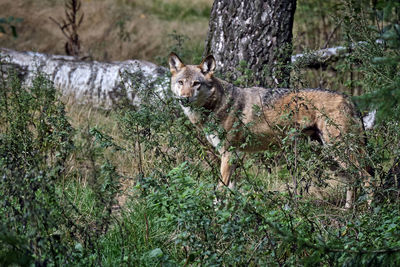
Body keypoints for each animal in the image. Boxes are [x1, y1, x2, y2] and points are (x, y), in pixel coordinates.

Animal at [168, 51, 372, 207]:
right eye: (181, 83)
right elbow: (232, 190)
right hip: (328, 155)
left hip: (339, 152)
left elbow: (220, 191)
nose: (184, 99)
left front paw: (217, 217)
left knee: (368, 178)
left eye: (196, 84)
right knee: (353, 179)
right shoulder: (233, 157)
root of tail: (349, 98)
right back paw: (347, 211)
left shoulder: (229, 154)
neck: (217, 104)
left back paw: (369, 215)